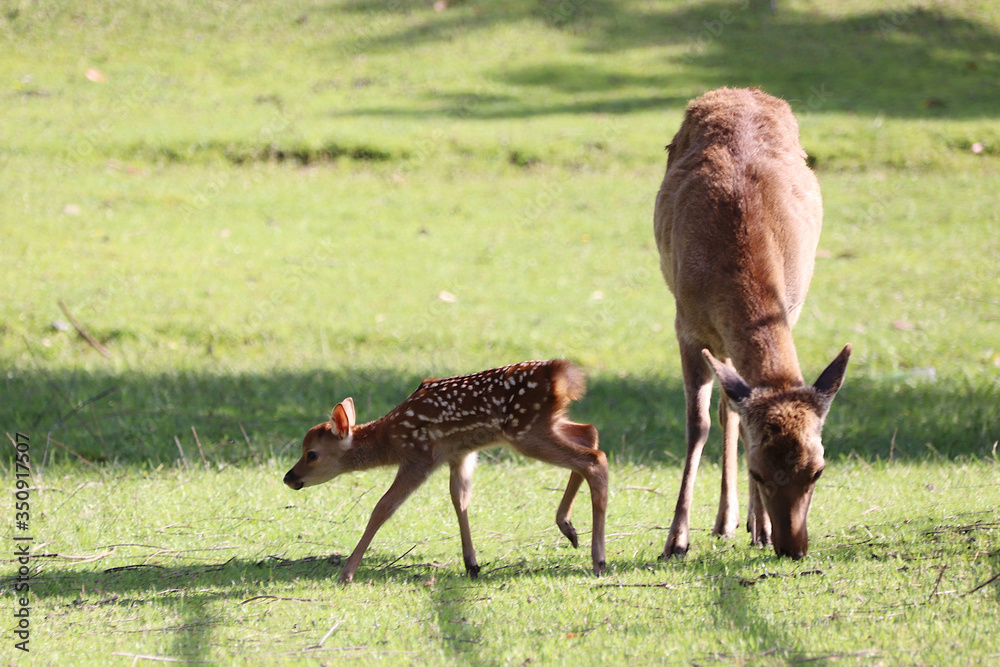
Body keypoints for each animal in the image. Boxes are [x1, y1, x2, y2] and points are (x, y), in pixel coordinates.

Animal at [283, 360, 608, 583]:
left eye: (311, 454)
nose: (289, 477)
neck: (390, 439)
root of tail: (563, 374)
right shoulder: (459, 454)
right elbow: (459, 499)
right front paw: (472, 564)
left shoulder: (419, 457)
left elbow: (383, 507)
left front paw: (347, 573)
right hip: (545, 425)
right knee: (589, 433)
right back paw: (569, 528)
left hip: (526, 432)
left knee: (594, 459)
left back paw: (598, 559)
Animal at [653, 87, 851, 560]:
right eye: (759, 472)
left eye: (818, 470)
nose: (793, 547)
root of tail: (739, 91)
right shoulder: (685, 325)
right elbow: (697, 425)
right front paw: (675, 540)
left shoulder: (791, 308)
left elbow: (740, 419)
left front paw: (760, 529)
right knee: (724, 412)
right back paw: (723, 522)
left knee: (732, 411)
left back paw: (739, 523)